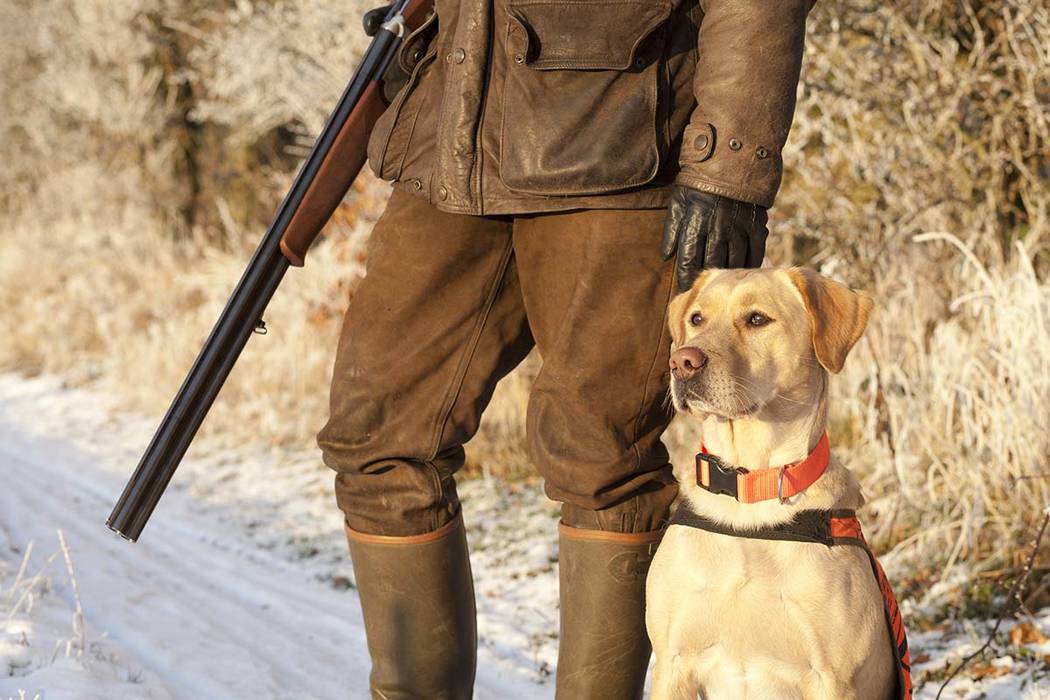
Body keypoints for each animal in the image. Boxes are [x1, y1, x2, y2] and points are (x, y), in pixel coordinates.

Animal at [646, 268, 902, 700]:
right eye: (697, 319)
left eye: (756, 319)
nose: (682, 362)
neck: (749, 490)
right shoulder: (672, 663)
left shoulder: (834, 678)